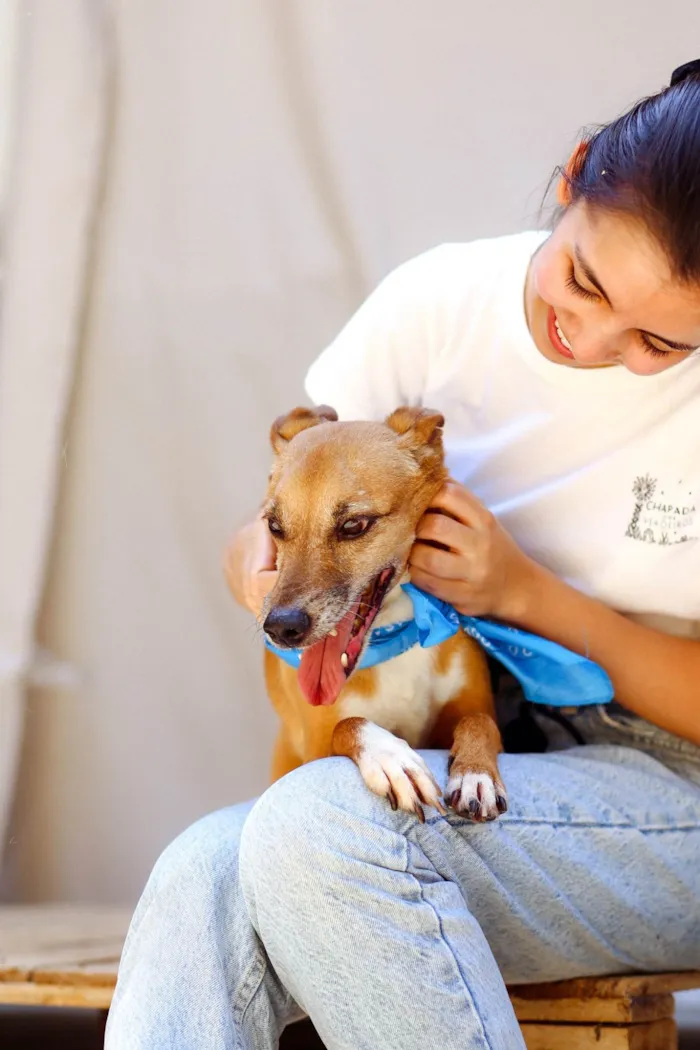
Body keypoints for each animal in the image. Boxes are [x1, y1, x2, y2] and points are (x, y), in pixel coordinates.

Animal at [260, 401, 505, 818]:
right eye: (274, 526)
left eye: (354, 525)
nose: (280, 628)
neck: (397, 633)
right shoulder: (315, 748)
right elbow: (347, 725)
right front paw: (391, 758)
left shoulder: (473, 705)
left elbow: (480, 721)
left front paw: (476, 773)